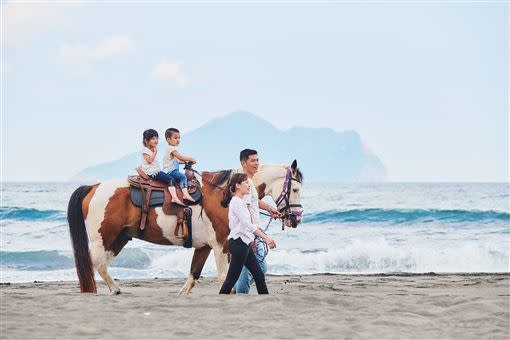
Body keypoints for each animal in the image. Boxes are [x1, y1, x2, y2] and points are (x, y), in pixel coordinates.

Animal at [65, 161, 300, 294]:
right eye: (296, 189)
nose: (295, 219)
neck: (224, 195)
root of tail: (93, 187)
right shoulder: (221, 245)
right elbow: (225, 278)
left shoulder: (204, 247)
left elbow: (193, 277)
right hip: (104, 238)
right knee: (95, 263)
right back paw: (113, 290)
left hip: (119, 238)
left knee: (100, 264)